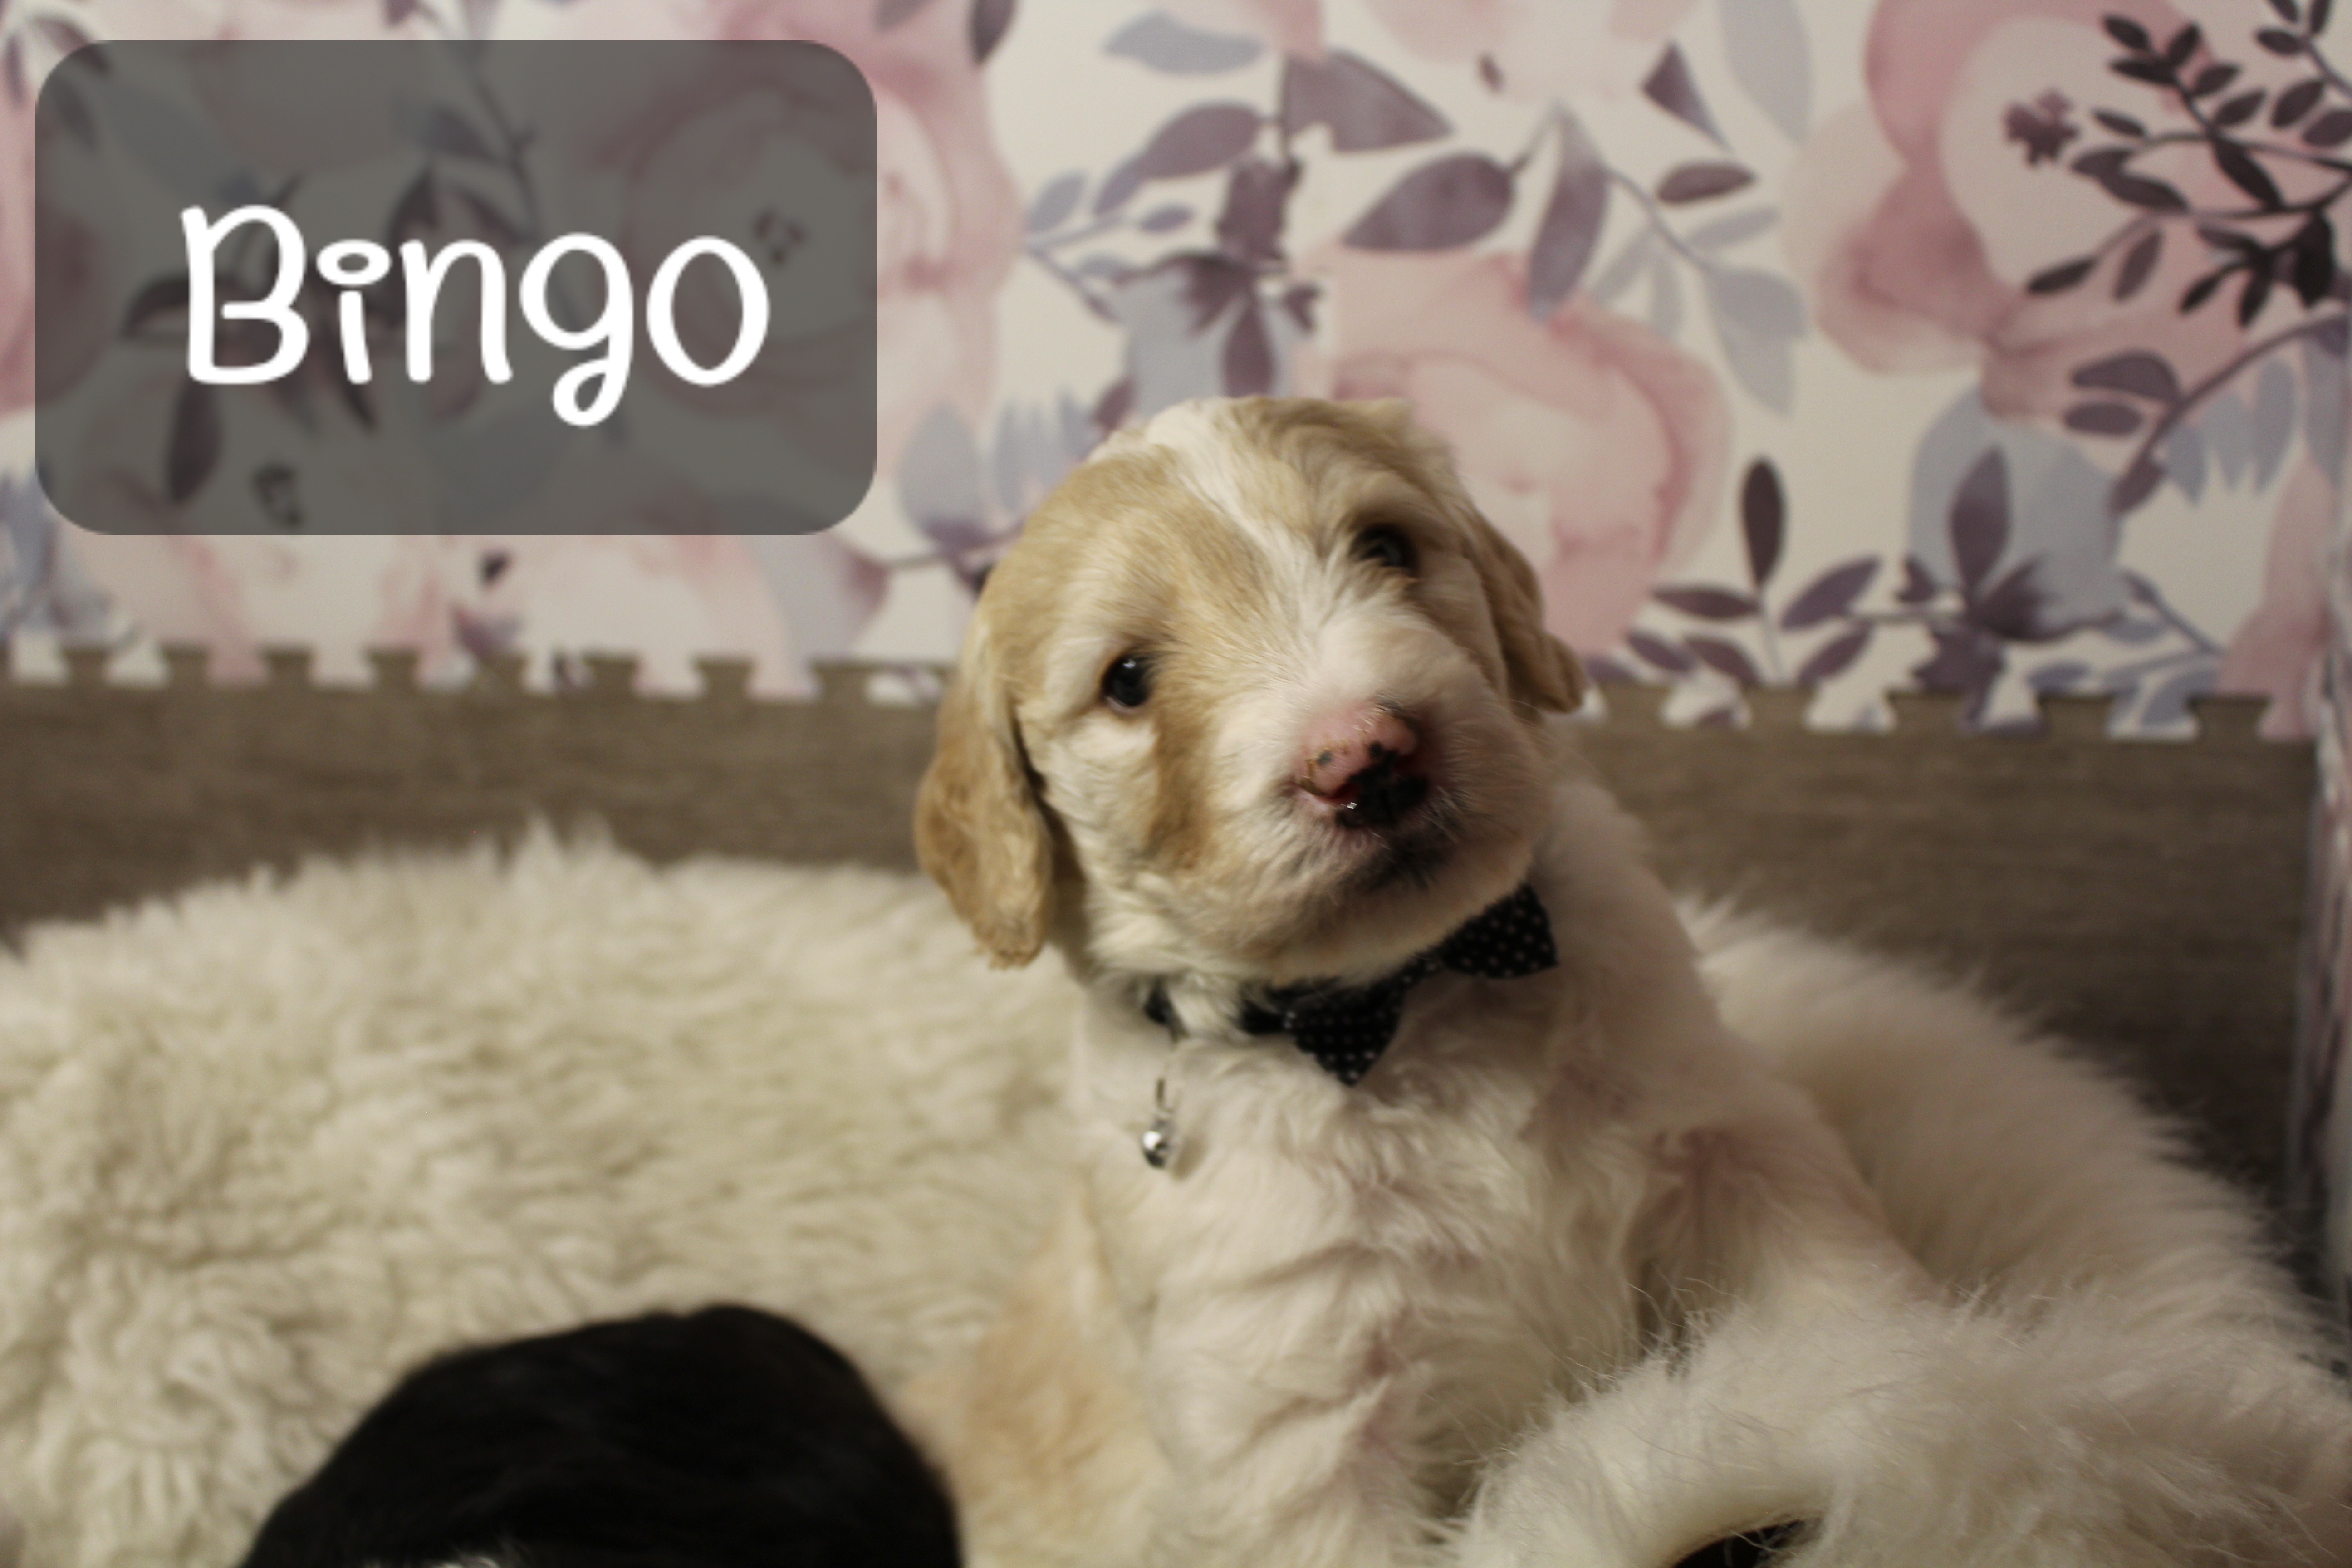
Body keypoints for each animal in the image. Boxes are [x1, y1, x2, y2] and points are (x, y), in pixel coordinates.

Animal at [909, 397, 1951, 1568]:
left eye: (1386, 548)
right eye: (1127, 680)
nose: (1364, 754)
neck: (1405, 1000)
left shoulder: (1735, 1149)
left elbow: (1848, 1311)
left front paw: (1949, 1404)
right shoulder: (1293, 1415)